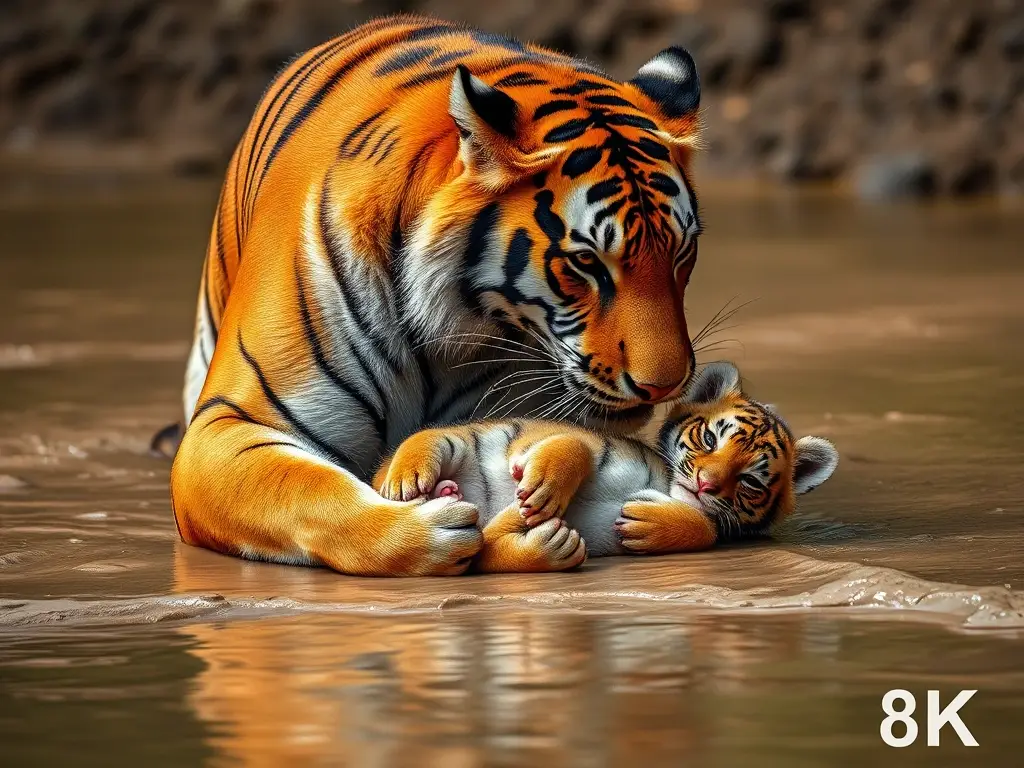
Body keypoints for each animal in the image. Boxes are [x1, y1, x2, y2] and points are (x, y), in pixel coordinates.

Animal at [169, 15, 706, 576]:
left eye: (682, 251)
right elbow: (305, 492)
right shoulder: (227, 423)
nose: (664, 387)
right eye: (585, 261)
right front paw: (422, 529)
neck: (448, 335)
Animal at [373, 362, 840, 572]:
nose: (705, 484)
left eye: (749, 482)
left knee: (485, 545)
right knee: (423, 443)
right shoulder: (553, 434)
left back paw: (542, 538)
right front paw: (543, 489)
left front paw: (645, 523)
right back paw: (411, 479)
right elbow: (572, 446)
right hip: (458, 441)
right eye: (710, 440)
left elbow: (706, 526)